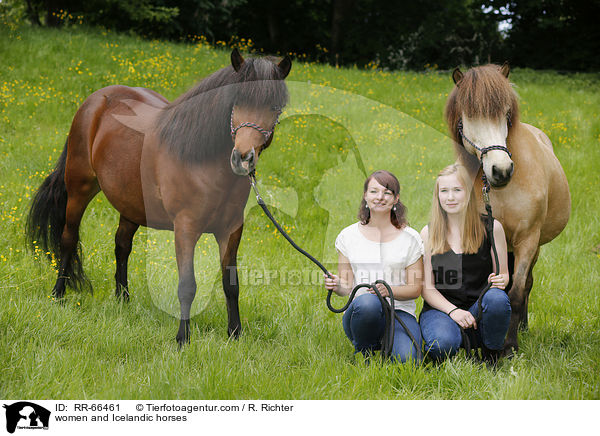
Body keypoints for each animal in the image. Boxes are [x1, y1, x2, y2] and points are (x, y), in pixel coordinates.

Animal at [25, 47, 292, 346]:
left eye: (275, 108)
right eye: (236, 101)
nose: (242, 157)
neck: (201, 160)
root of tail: (95, 101)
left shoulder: (231, 230)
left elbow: (230, 283)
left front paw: (234, 334)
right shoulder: (185, 228)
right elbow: (187, 285)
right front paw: (182, 339)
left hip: (130, 203)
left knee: (121, 245)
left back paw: (123, 300)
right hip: (79, 188)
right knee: (68, 240)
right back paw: (58, 295)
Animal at [446, 62, 572, 354]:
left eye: (505, 114)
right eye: (470, 115)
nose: (501, 170)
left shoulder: (528, 239)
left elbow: (515, 293)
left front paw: (510, 346)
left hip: (533, 247)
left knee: (526, 284)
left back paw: (522, 327)